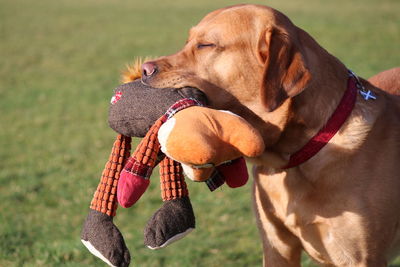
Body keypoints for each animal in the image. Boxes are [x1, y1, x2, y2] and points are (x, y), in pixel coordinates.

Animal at [139, 4, 398, 267]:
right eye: (187, 42)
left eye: (206, 45)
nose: (144, 69)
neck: (295, 158)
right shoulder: (276, 247)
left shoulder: (360, 258)